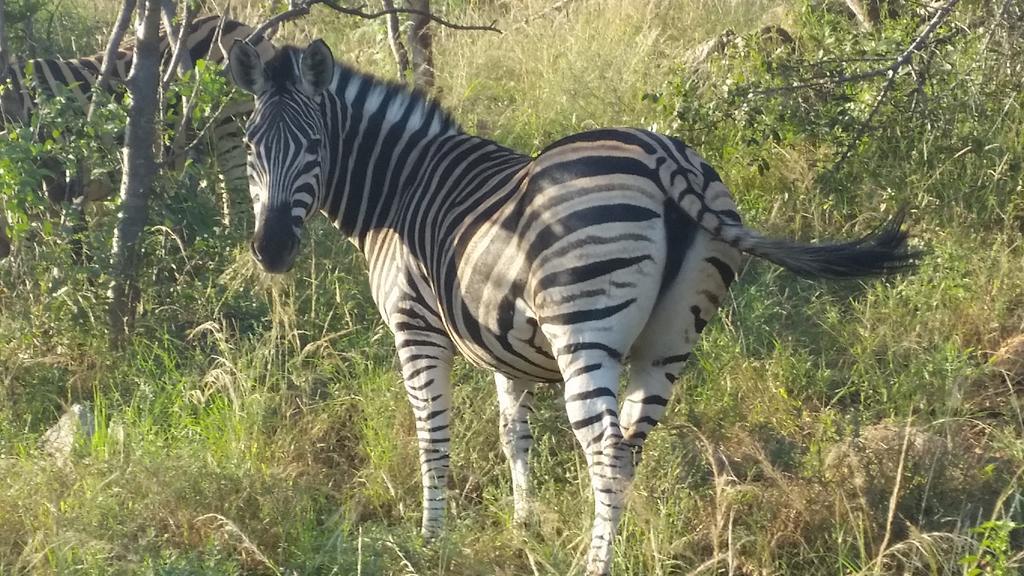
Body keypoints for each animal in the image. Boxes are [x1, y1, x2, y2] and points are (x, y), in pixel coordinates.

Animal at [0, 14, 276, 260]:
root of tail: (240, 26)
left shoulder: (60, 182)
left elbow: (61, 248)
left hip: (230, 127)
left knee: (239, 198)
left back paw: (231, 254)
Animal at [228, 41, 917, 573]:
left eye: (314, 145)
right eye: (250, 146)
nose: (272, 250)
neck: (400, 186)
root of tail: (667, 159)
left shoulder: (414, 327)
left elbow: (433, 436)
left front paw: (431, 538)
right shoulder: (499, 341)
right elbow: (514, 434)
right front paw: (523, 525)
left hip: (583, 328)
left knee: (606, 449)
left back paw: (595, 565)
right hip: (670, 340)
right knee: (632, 446)